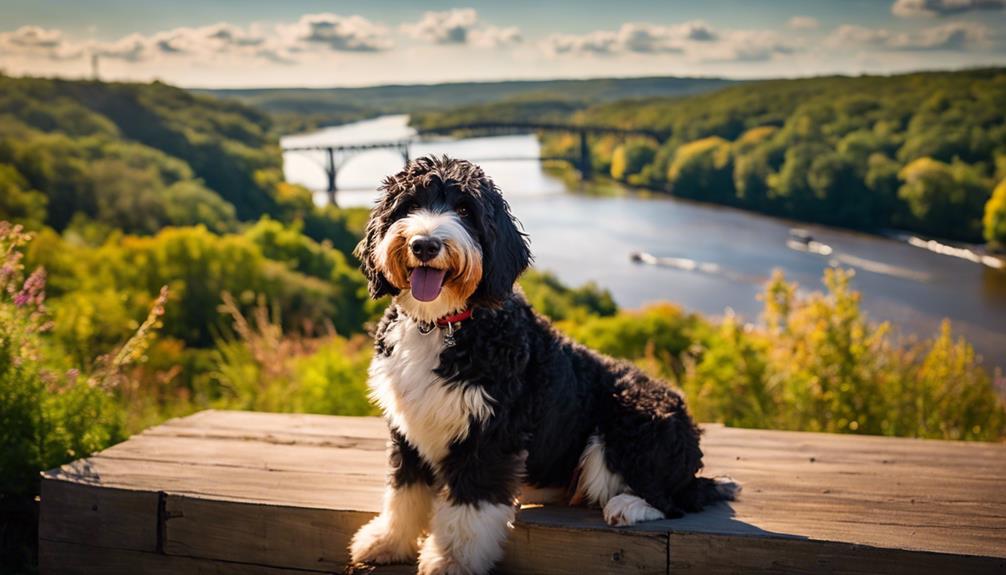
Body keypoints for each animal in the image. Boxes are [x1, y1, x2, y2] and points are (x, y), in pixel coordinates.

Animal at [352, 154, 740, 570]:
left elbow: (468, 509)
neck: (442, 324)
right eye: (408, 206)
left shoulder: (491, 433)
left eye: (465, 210)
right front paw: (389, 541)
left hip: (634, 420)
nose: (424, 245)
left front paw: (450, 561)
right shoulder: (408, 428)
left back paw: (629, 505)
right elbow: (404, 491)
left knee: (672, 500)